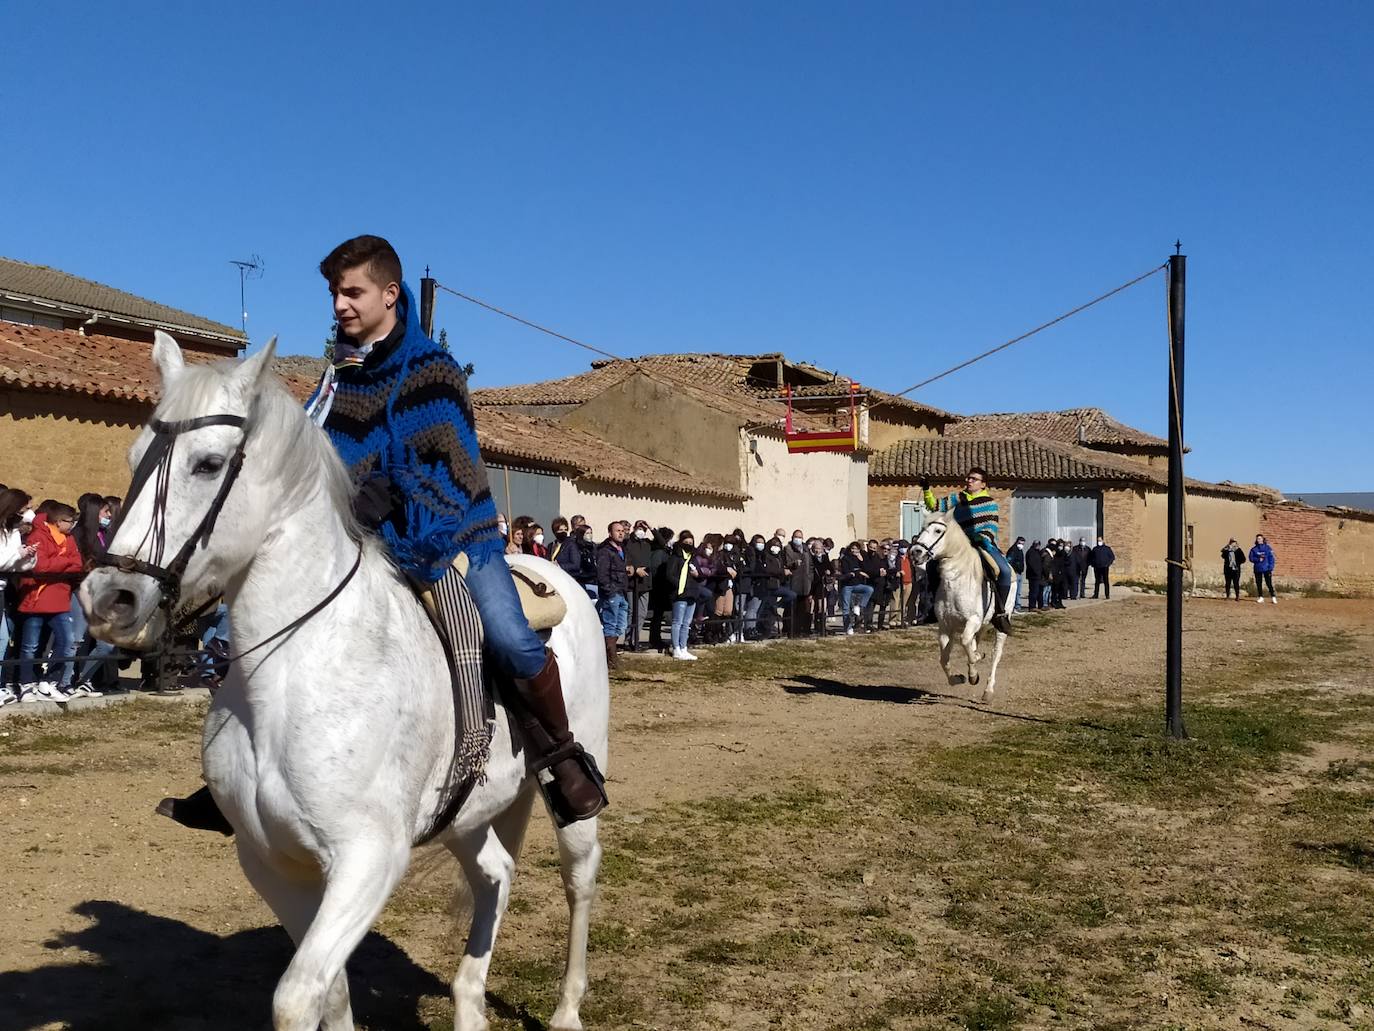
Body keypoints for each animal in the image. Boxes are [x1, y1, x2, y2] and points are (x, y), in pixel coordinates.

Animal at [80, 335, 607, 1028]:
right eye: (134, 457)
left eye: (208, 464)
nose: (107, 598)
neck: (290, 675)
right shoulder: (272, 862)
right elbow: (330, 992)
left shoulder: (367, 860)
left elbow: (297, 996)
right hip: (468, 813)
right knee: (494, 874)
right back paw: (469, 1005)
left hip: (573, 791)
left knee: (578, 878)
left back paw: (567, 1008)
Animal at [912, 514, 1011, 709]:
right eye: (922, 528)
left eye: (938, 530)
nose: (915, 552)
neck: (956, 579)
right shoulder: (945, 626)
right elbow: (944, 659)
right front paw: (959, 678)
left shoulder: (973, 620)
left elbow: (966, 642)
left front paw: (974, 667)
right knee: (973, 643)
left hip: (999, 624)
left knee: (996, 654)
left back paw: (988, 690)